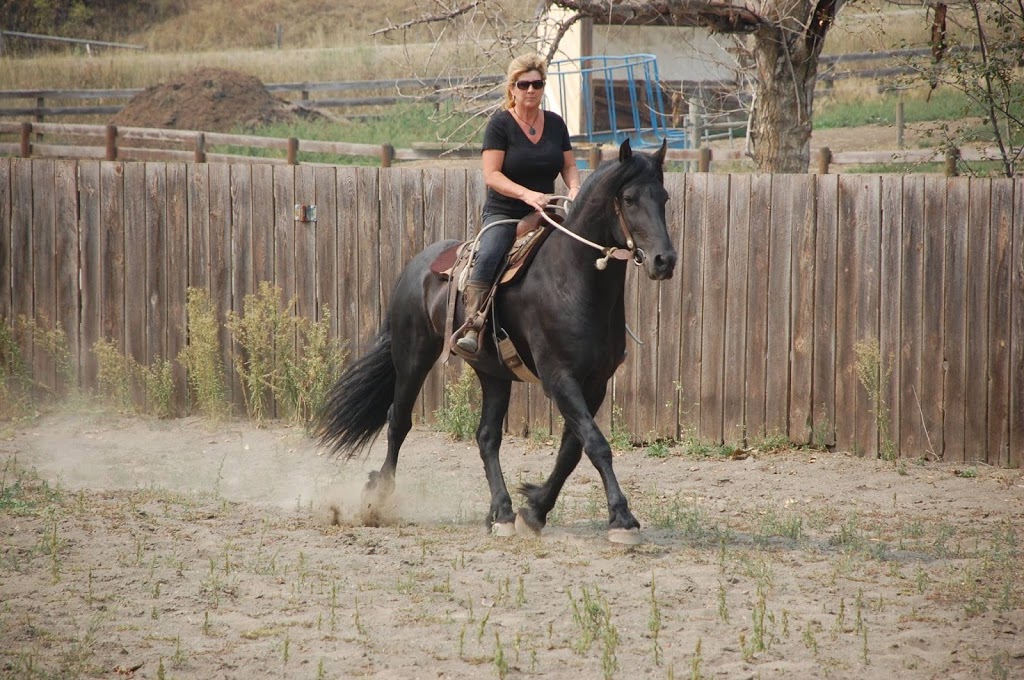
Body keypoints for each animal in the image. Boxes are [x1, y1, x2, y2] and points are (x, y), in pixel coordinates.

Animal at [315, 137, 675, 540]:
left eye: (663, 197)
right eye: (629, 198)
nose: (664, 260)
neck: (572, 279)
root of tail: (417, 265)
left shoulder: (594, 383)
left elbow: (572, 449)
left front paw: (534, 509)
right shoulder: (559, 378)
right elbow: (596, 444)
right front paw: (622, 518)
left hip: (493, 374)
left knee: (486, 436)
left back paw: (500, 512)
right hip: (413, 357)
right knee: (399, 420)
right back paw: (378, 498)